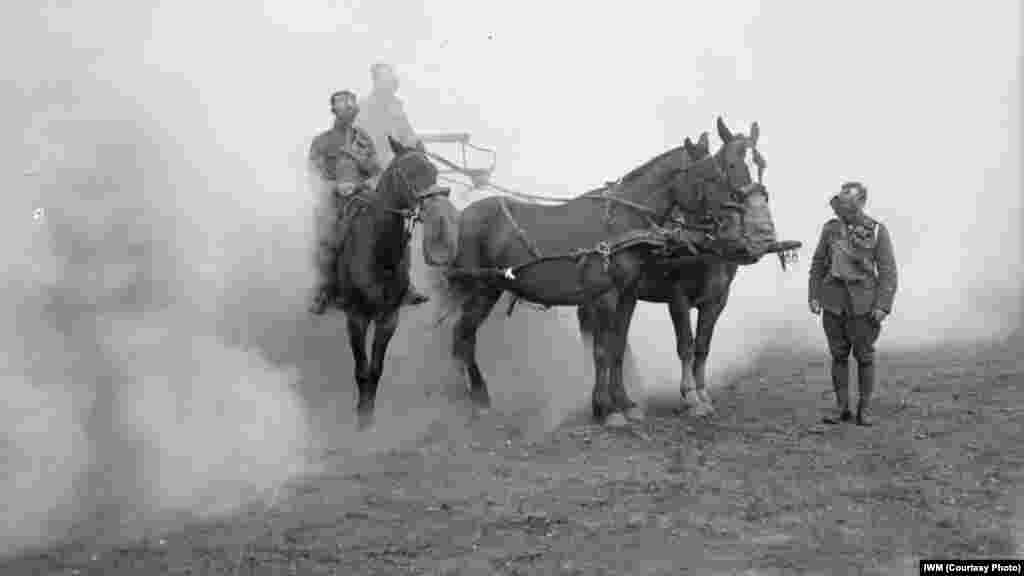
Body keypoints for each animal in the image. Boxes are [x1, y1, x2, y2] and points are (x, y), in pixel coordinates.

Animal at [335, 136, 448, 428]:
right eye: (408, 173)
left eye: (434, 171)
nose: (437, 212)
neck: (379, 254)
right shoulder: (356, 317)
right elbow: (361, 368)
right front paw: (361, 418)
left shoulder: (389, 317)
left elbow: (376, 368)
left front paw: (369, 414)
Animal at [425, 138, 774, 426]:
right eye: (711, 175)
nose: (738, 226)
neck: (622, 225)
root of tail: (462, 216)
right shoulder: (605, 296)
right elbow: (604, 351)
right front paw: (607, 409)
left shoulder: (628, 296)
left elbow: (617, 347)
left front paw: (626, 404)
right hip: (479, 288)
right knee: (462, 335)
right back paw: (473, 398)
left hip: (490, 290)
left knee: (463, 336)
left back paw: (474, 396)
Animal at [577, 115, 798, 416]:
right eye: (731, 165)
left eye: (761, 164)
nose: (763, 232)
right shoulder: (677, 297)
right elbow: (686, 344)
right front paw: (690, 396)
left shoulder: (716, 300)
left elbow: (703, 346)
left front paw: (703, 393)